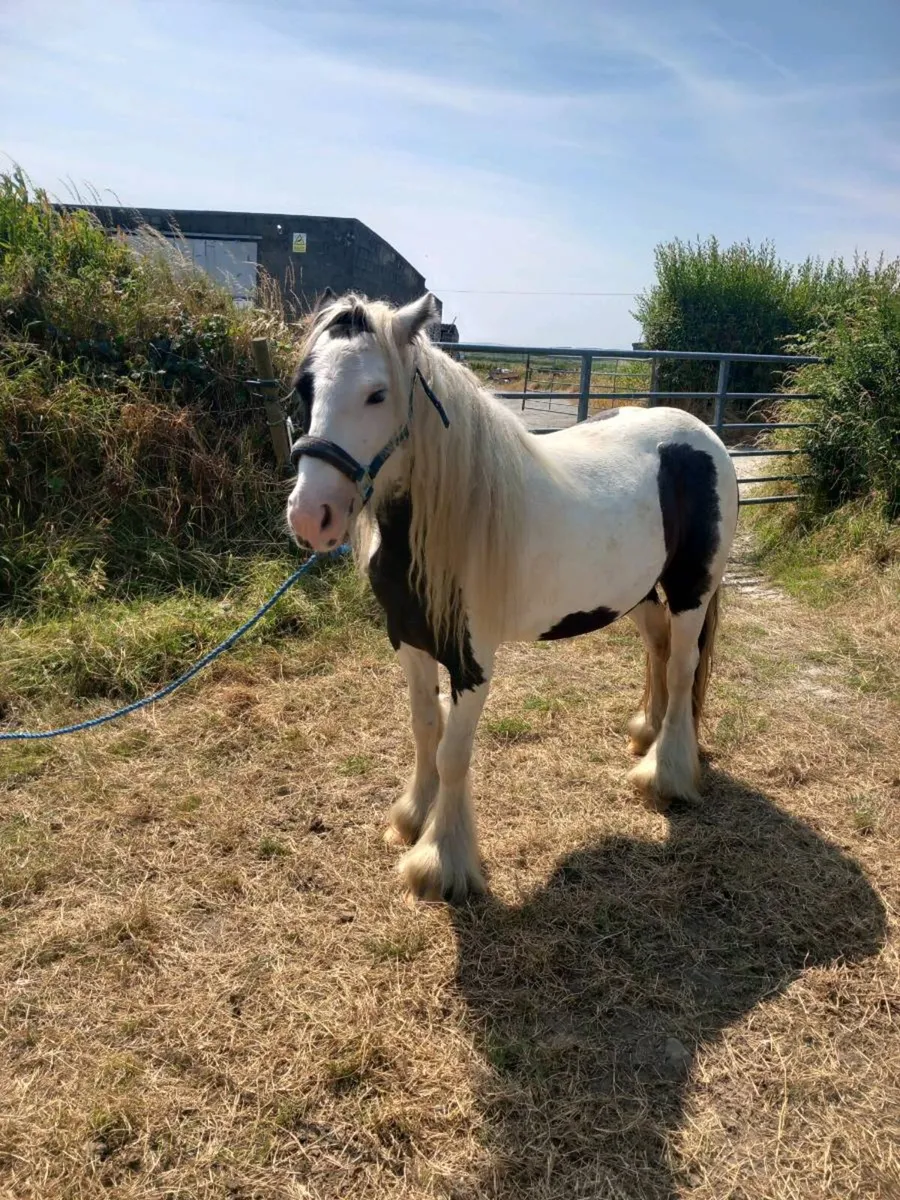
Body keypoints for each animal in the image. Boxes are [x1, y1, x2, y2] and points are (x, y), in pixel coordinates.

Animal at [286, 292, 739, 903]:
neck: (443, 526)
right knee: (660, 651)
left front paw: (442, 863)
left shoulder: (474, 663)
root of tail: (703, 435)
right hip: (639, 593)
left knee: (684, 664)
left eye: (377, 393)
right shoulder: (408, 642)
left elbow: (454, 752)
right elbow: (424, 729)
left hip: (693, 589)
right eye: (305, 389)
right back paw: (646, 734)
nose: (311, 518)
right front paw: (412, 817)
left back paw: (665, 774)